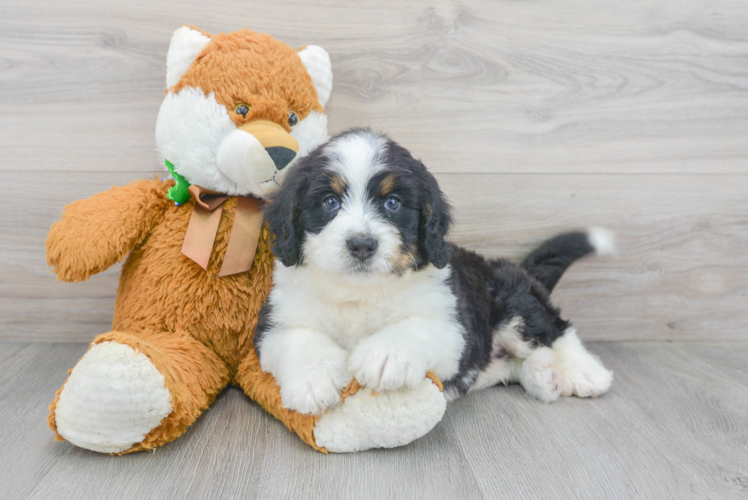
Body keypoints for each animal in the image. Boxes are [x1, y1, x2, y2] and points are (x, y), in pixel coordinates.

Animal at [256, 129, 612, 414]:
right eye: (329, 202)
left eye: (393, 203)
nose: (362, 244)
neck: (362, 292)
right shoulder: (275, 322)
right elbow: (298, 338)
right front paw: (313, 381)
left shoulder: (452, 324)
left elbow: (416, 327)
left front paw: (386, 355)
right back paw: (543, 375)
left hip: (510, 297)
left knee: (554, 329)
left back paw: (583, 371)